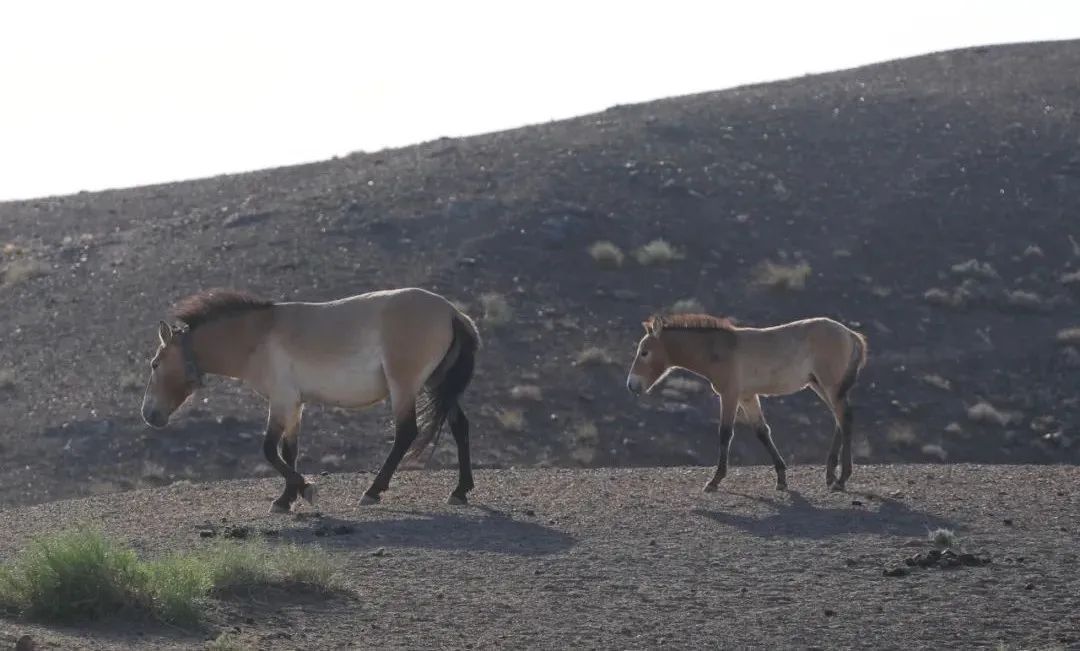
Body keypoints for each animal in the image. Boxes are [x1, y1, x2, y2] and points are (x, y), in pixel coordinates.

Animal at [141, 287, 479, 511]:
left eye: (155, 364)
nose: (148, 414)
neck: (257, 336)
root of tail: (452, 312)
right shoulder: (295, 405)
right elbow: (289, 451)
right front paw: (286, 498)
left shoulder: (281, 402)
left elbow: (269, 450)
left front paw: (305, 490)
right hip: (438, 384)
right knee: (460, 426)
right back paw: (460, 491)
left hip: (404, 387)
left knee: (406, 433)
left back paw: (372, 491)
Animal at [626, 313, 868, 492]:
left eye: (644, 352)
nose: (631, 385)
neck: (717, 349)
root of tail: (849, 333)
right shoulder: (747, 396)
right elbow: (762, 431)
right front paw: (781, 478)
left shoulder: (730, 395)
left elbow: (725, 434)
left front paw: (715, 480)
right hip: (820, 385)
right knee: (840, 419)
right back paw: (830, 475)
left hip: (829, 385)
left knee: (845, 418)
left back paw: (841, 479)